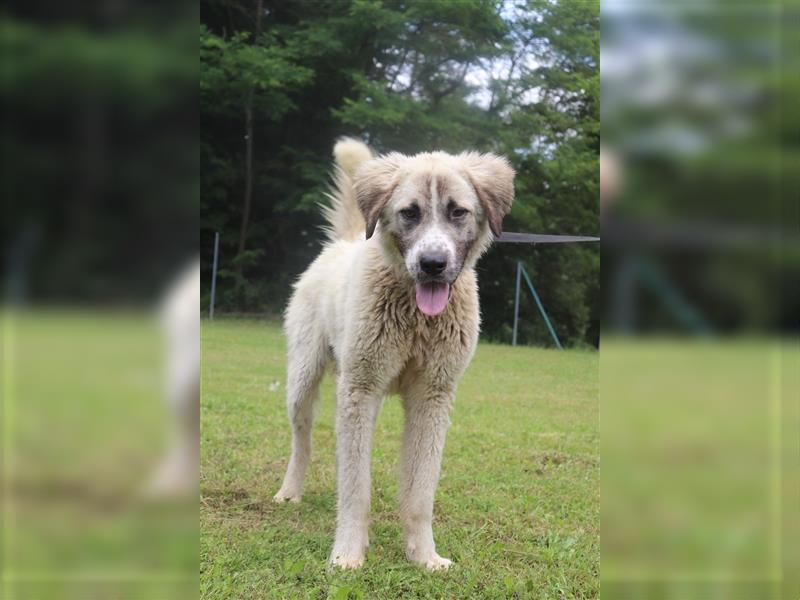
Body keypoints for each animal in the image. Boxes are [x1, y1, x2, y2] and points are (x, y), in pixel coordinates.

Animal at [272, 138, 516, 568]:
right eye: (409, 212)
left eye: (457, 211)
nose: (432, 264)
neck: (416, 317)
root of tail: (344, 242)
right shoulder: (359, 391)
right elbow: (355, 487)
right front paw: (348, 554)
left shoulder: (431, 398)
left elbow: (420, 492)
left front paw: (424, 556)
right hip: (302, 381)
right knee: (302, 440)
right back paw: (290, 490)